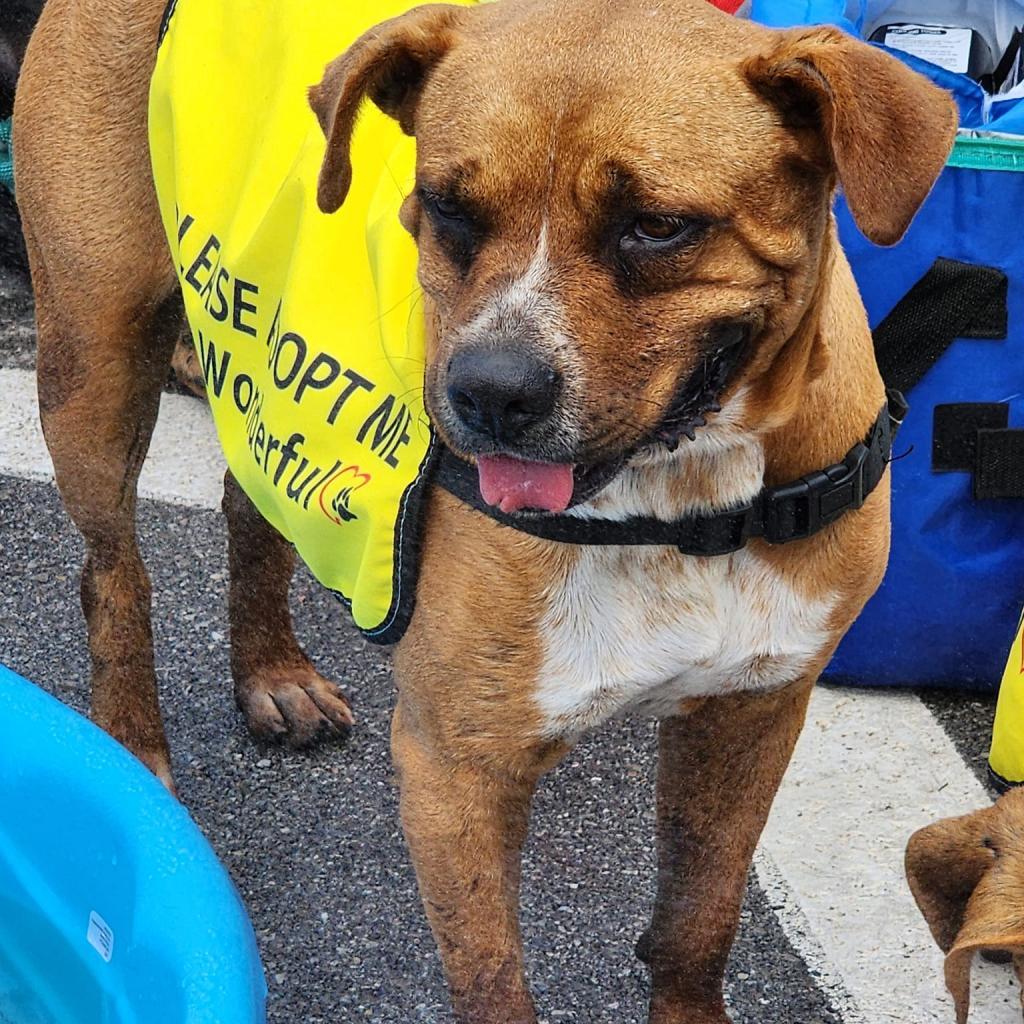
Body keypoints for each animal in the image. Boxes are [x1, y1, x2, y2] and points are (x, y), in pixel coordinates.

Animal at [16, 4, 954, 1019]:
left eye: (658, 228)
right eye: (448, 209)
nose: (491, 392)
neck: (680, 502)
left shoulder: (751, 712)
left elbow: (700, 920)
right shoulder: (458, 773)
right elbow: (495, 982)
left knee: (249, 502)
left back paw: (271, 670)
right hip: (96, 361)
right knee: (113, 572)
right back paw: (131, 747)